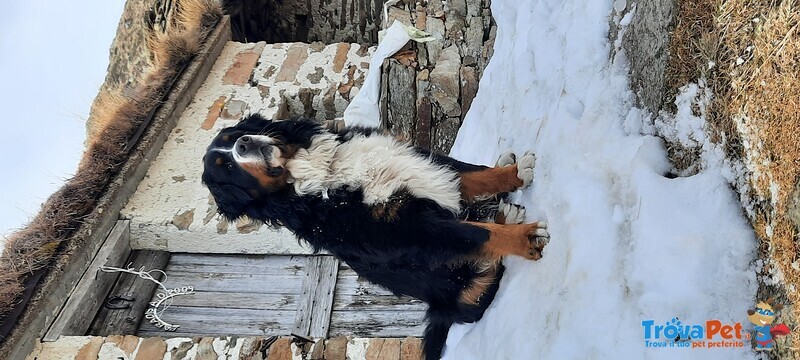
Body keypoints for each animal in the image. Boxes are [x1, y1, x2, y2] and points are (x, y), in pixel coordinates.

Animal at [202, 114, 552, 358]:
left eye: (233, 137)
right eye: (227, 169)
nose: (245, 143)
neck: (324, 178)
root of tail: (443, 312)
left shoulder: (417, 167)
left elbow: (474, 175)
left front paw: (516, 174)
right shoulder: (412, 230)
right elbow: (476, 235)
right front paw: (526, 238)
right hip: (466, 292)